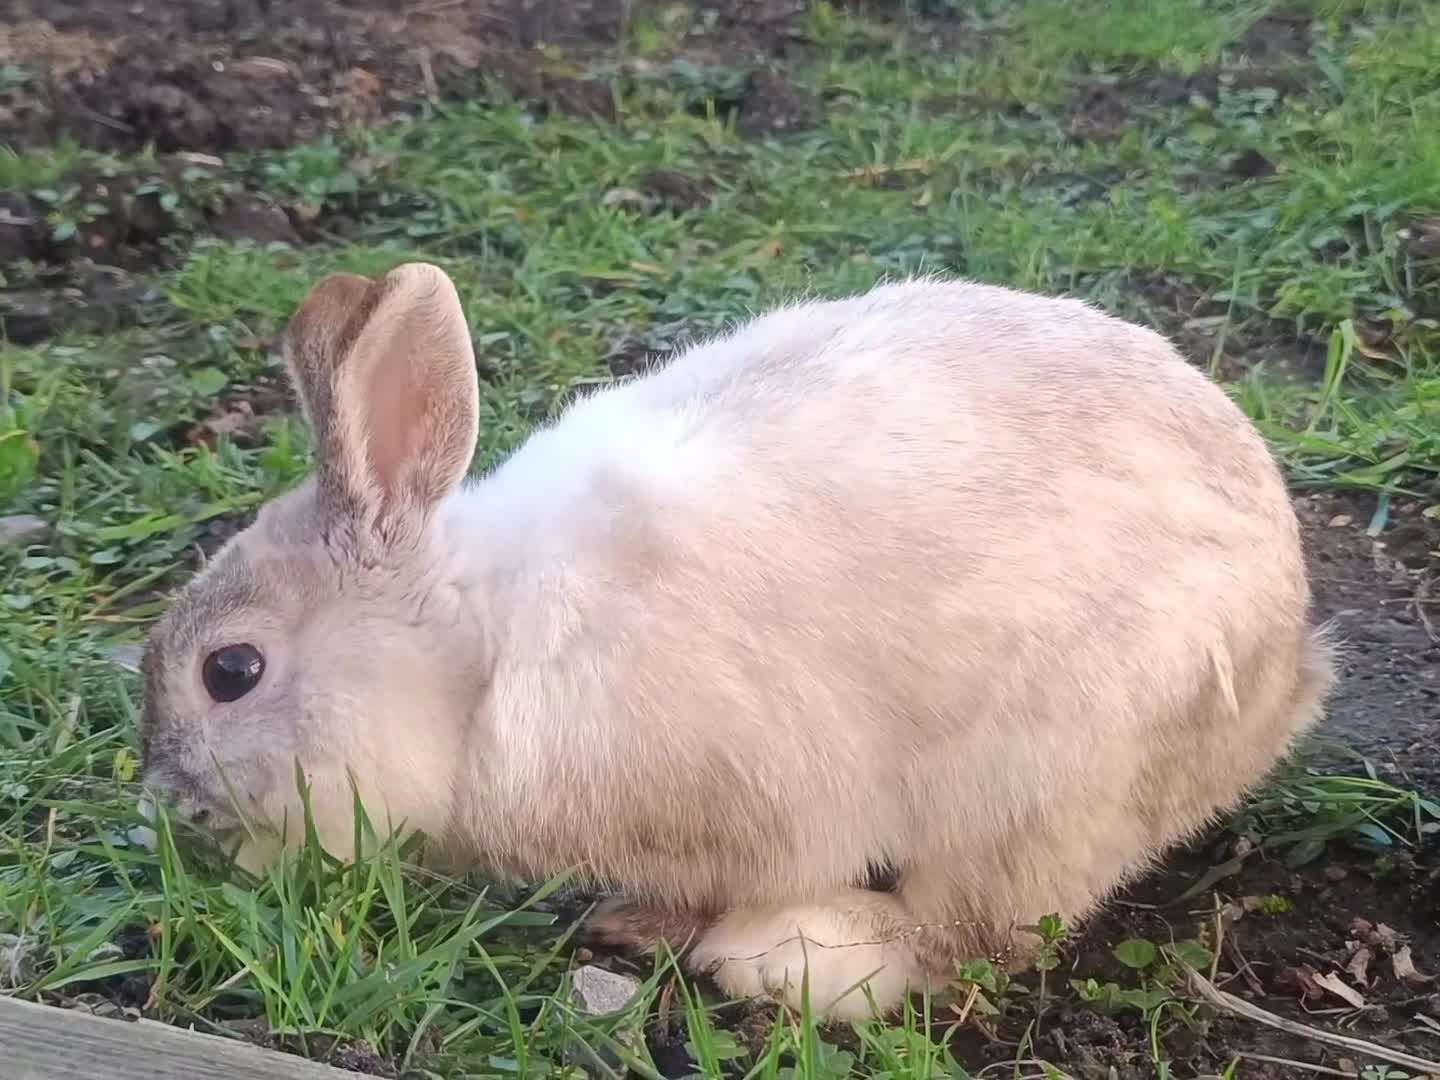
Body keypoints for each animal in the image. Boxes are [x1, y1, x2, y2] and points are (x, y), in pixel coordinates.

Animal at [139, 262, 1334, 1021]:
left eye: (230, 672)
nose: (168, 800)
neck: (484, 653)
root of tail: (1290, 656)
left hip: (1044, 788)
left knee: (973, 934)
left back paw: (791, 961)